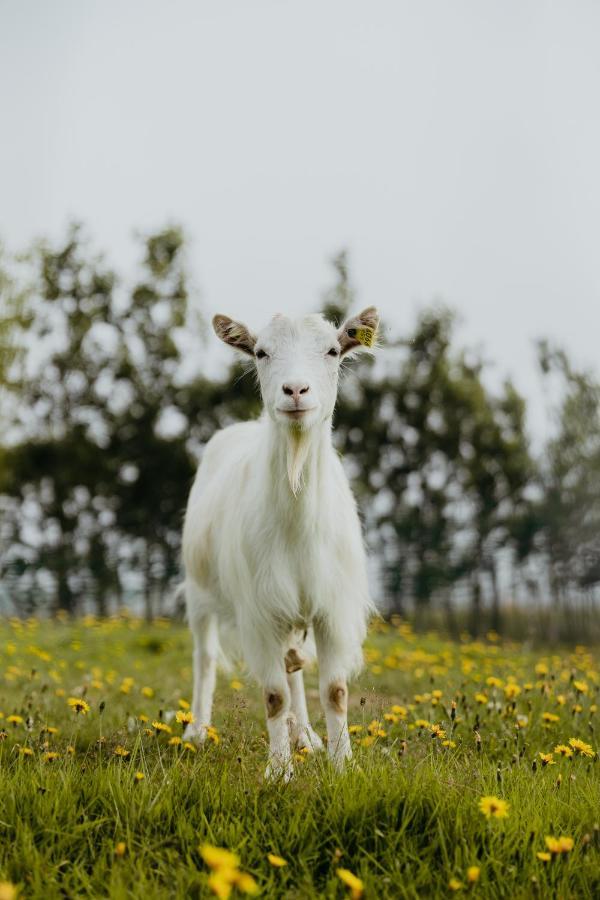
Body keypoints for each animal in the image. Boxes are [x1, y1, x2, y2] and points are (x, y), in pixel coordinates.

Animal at [183, 306, 380, 776]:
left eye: (332, 350)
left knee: (295, 667)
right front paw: (278, 771)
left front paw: (342, 764)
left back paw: (306, 736)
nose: (295, 390)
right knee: (205, 657)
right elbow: (273, 696)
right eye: (261, 352)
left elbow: (334, 690)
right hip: (199, 590)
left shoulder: (331, 608)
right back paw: (197, 730)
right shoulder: (258, 612)